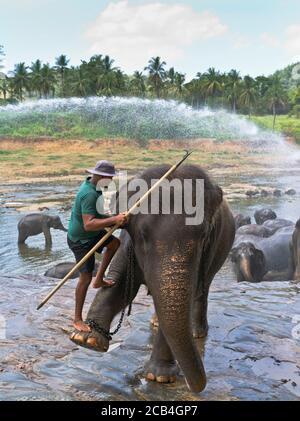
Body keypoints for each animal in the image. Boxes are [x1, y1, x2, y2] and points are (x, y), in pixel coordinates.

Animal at [69, 162, 236, 392]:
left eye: (203, 236)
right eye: (143, 235)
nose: (198, 386)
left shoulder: (207, 250)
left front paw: (158, 377)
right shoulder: (128, 241)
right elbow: (122, 286)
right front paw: (86, 339)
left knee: (202, 291)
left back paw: (196, 333)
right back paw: (156, 323)